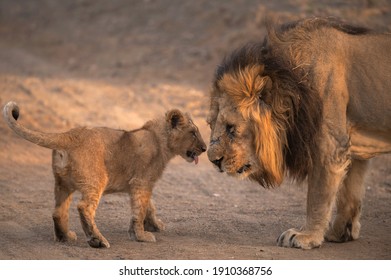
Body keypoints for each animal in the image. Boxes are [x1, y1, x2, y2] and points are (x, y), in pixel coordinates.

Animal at [208, 17, 391, 249]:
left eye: (231, 127)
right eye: (210, 124)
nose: (214, 161)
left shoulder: (330, 146)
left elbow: (317, 196)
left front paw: (306, 236)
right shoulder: (353, 146)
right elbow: (350, 193)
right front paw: (340, 233)